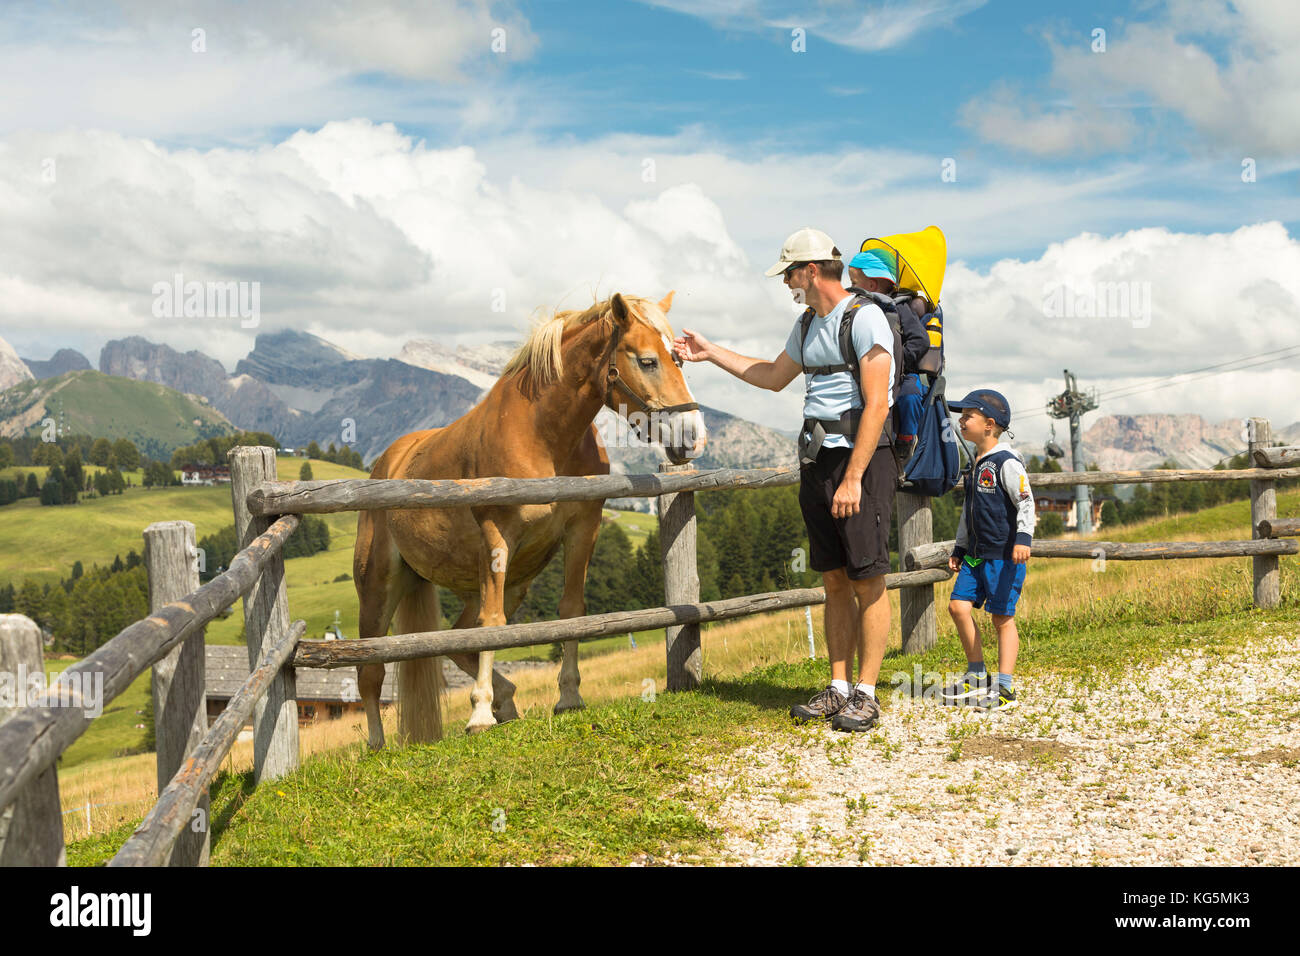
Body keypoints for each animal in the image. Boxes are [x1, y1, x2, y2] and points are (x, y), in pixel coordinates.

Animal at [351, 291, 707, 749]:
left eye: (678, 359)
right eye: (647, 360)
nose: (692, 436)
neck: (541, 435)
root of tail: (388, 462)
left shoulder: (583, 529)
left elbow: (570, 610)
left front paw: (569, 697)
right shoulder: (497, 536)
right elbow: (492, 625)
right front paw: (479, 714)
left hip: (503, 582)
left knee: (456, 641)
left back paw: (507, 700)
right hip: (379, 585)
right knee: (371, 670)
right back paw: (379, 745)